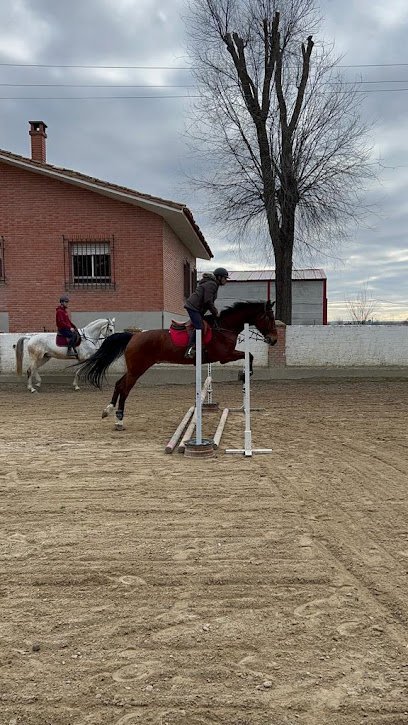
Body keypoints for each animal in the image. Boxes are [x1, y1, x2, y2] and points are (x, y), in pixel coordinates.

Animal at [77, 302, 278, 430]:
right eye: (269, 318)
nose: (274, 340)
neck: (224, 327)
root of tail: (134, 336)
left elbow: (249, 355)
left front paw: (244, 374)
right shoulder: (224, 356)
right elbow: (248, 355)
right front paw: (245, 374)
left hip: (134, 368)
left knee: (119, 384)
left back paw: (108, 410)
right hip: (138, 369)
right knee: (125, 388)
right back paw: (119, 420)